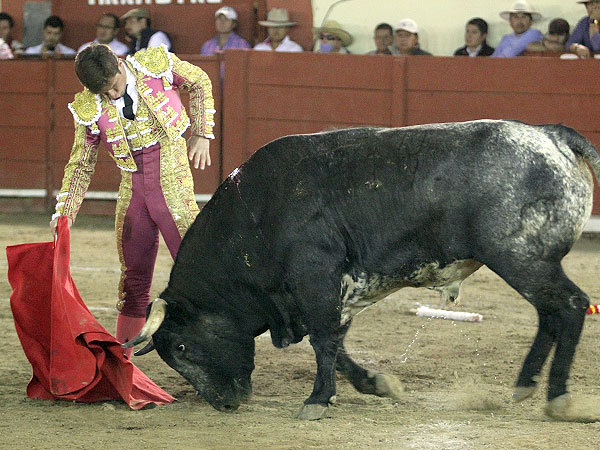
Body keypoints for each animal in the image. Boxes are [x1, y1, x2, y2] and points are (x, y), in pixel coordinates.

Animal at [124, 119, 600, 421]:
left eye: (181, 347)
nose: (224, 404)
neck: (255, 217)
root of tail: (551, 136)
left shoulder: (315, 278)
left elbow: (323, 341)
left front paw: (316, 402)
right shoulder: (335, 293)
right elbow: (336, 344)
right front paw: (376, 384)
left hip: (521, 258)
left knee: (571, 306)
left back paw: (558, 398)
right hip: (529, 264)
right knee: (550, 314)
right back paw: (525, 385)